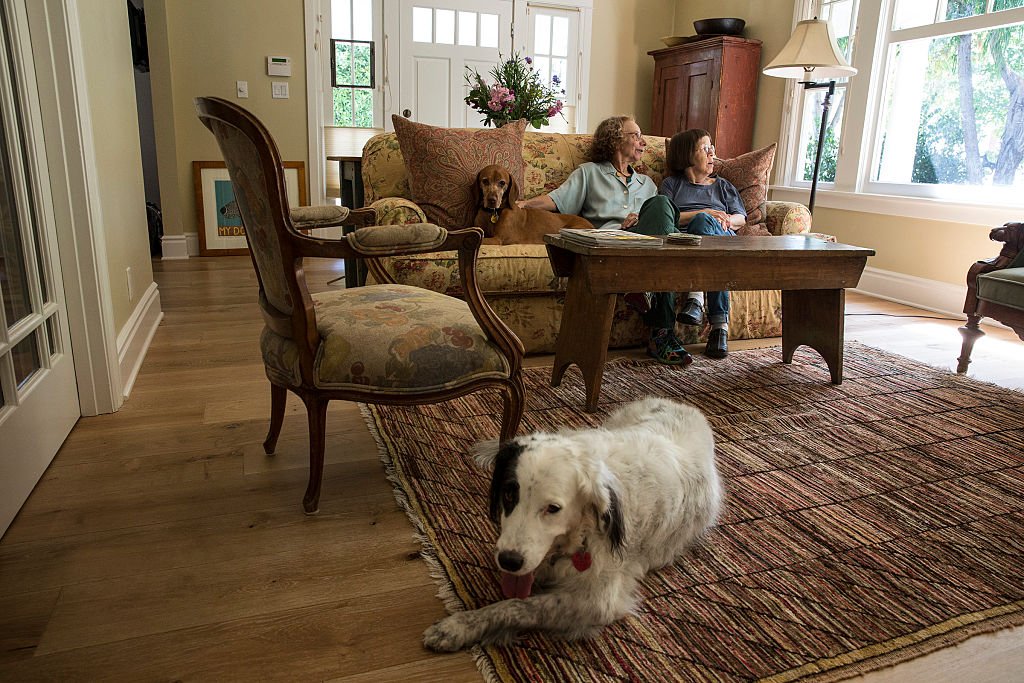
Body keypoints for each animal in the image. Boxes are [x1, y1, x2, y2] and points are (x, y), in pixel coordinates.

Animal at [421, 395, 720, 651]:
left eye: (553, 509)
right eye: (509, 495)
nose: (509, 561)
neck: (584, 532)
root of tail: (681, 405)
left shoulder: (599, 600)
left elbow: (519, 606)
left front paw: (458, 626)